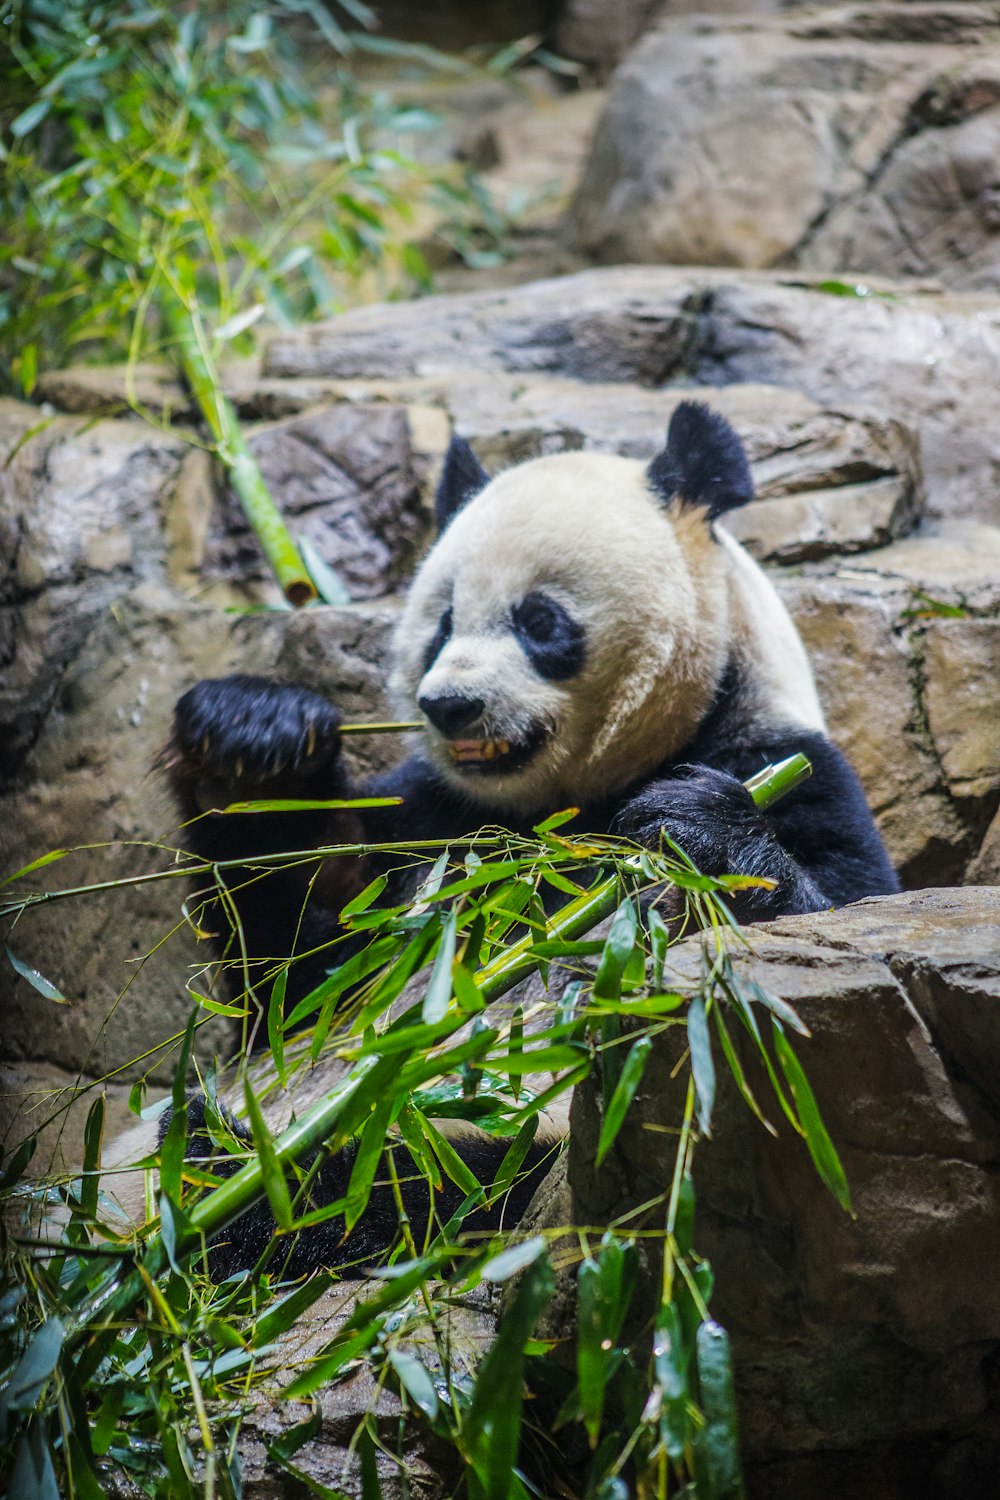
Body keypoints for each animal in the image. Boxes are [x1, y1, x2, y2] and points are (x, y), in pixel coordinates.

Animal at [109, 402, 899, 1278]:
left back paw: (231, 1174)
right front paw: (249, 739)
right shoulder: (438, 825)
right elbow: (303, 963)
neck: (562, 804)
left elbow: (836, 917)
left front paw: (698, 830)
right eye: (442, 623)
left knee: (425, 1180)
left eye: (539, 621)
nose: (450, 705)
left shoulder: (778, 759)